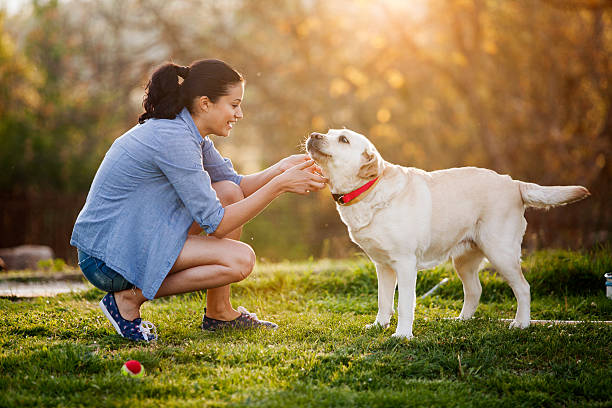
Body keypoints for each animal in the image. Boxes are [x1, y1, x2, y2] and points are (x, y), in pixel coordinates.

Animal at [306, 130, 588, 338]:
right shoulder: (383, 266)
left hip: (501, 252)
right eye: (329, 133)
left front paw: (402, 335)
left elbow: (405, 302)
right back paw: (460, 321)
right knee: (475, 290)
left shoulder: (405, 263)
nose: (313, 134)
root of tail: (513, 182)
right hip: (464, 260)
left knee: (523, 288)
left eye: (343, 139)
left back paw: (522, 324)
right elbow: (383, 300)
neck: (367, 190)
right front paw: (379, 326)